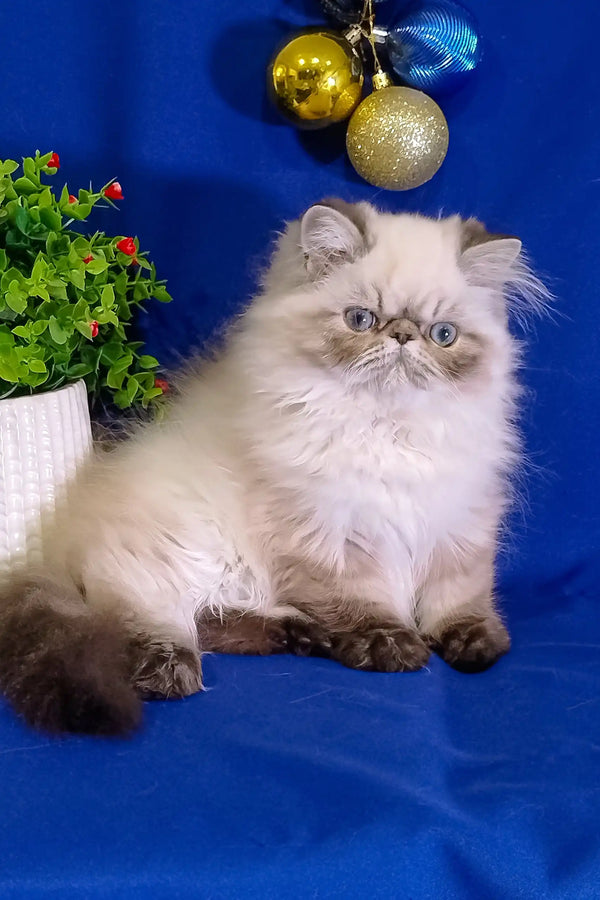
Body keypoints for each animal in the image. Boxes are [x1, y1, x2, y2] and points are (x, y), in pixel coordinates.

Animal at [0, 200, 548, 736]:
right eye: (361, 320)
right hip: (177, 549)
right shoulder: (331, 535)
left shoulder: (458, 523)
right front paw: (392, 647)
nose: (404, 336)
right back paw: (168, 670)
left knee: (214, 618)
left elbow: (457, 598)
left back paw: (301, 634)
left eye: (443, 335)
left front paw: (473, 645)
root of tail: (60, 539)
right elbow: (364, 605)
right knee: (144, 614)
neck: (387, 431)